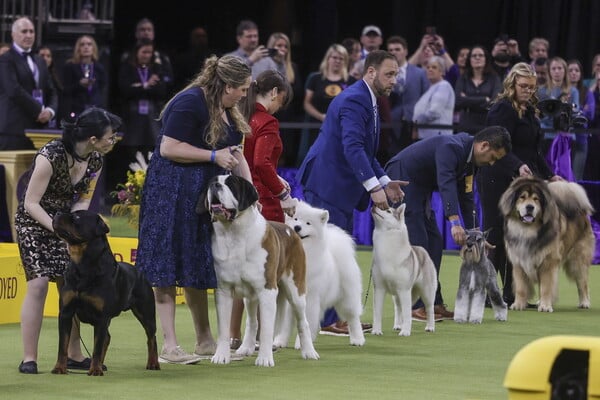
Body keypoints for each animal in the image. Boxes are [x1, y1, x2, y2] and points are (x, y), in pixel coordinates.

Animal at [197, 173, 318, 368]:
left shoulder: (267, 291)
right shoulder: (223, 290)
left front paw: (265, 358)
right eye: (212, 182)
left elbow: (267, 329)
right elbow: (224, 328)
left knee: (302, 321)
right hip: (250, 295)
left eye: (231, 184)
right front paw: (221, 356)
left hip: (296, 290)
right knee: (252, 321)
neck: (234, 232)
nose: (215, 186)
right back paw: (246, 347)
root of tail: (290, 229)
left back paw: (309, 351)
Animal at [500, 176, 592, 312]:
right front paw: (518, 305)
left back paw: (584, 302)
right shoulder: (519, 263)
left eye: (536, 199)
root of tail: (580, 211)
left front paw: (545, 306)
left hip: (577, 260)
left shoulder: (548, 262)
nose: (530, 207)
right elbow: (521, 288)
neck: (527, 231)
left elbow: (546, 287)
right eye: (522, 197)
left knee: (582, 282)